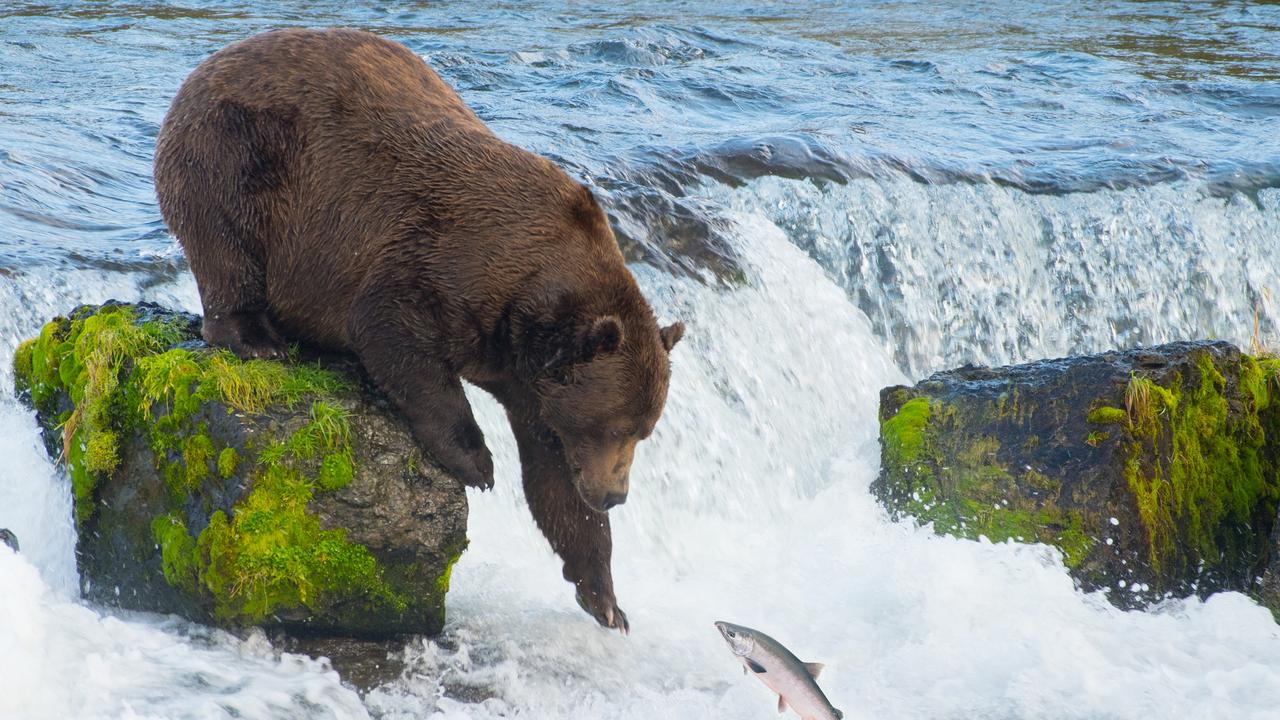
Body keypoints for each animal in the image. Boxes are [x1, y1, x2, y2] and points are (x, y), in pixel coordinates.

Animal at [154, 28, 686, 630]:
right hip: (239, 156)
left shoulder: (537, 386)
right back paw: (259, 338)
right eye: (615, 426)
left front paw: (605, 597)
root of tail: (205, 66)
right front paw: (476, 460)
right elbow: (394, 334)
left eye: (642, 431)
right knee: (227, 242)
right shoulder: (444, 260)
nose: (616, 494)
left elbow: (553, 479)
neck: (529, 308)